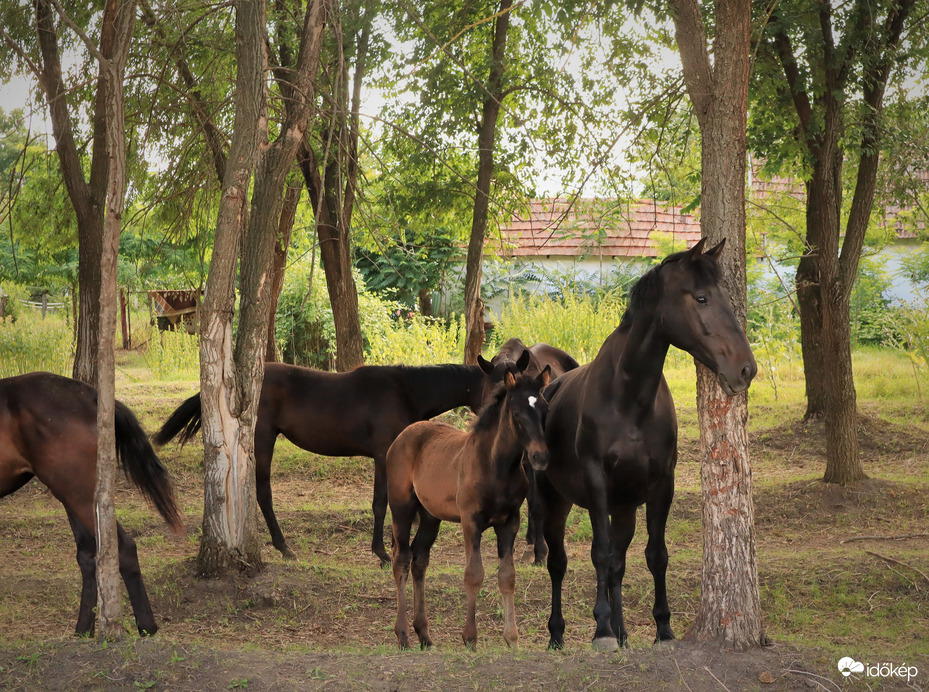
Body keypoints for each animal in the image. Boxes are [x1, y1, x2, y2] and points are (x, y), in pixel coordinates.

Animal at [0, 374, 185, 636]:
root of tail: (90, 395)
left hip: (80, 496)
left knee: (124, 548)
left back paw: (146, 626)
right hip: (75, 496)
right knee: (87, 556)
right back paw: (83, 629)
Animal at [154, 360, 486, 564]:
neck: (405, 392)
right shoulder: (383, 455)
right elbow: (381, 503)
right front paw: (381, 551)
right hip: (263, 440)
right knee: (263, 492)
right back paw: (283, 546)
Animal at [386, 364, 552, 652]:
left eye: (545, 409)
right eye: (517, 413)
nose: (540, 457)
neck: (496, 468)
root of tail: (401, 437)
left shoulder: (510, 522)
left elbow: (507, 575)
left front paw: (512, 638)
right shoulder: (470, 521)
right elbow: (474, 574)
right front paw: (470, 638)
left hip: (430, 516)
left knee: (420, 560)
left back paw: (424, 635)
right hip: (402, 509)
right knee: (402, 560)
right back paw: (404, 635)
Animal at [536, 241, 752, 652]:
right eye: (701, 298)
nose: (746, 369)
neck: (629, 398)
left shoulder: (660, 484)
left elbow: (655, 555)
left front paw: (661, 630)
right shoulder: (596, 482)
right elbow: (600, 554)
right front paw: (601, 631)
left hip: (623, 508)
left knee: (618, 564)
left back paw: (621, 633)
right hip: (555, 501)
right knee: (559, 562)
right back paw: (558, 634)